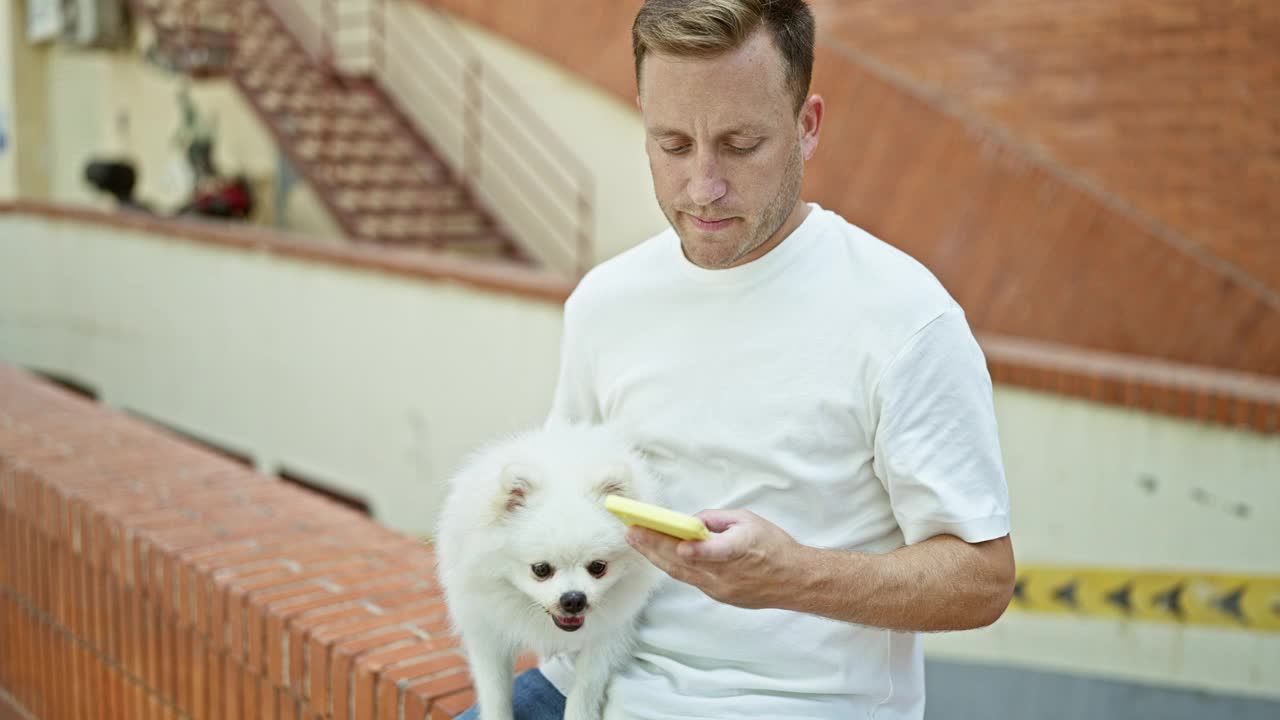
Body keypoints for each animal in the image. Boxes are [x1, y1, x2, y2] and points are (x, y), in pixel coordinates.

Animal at [435, 420, 665, 717]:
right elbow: (495, 691)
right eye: (541, 569)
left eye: (598, 567)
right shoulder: (487, 631)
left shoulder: (607, 634)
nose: (574, 599)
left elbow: (586, 688)